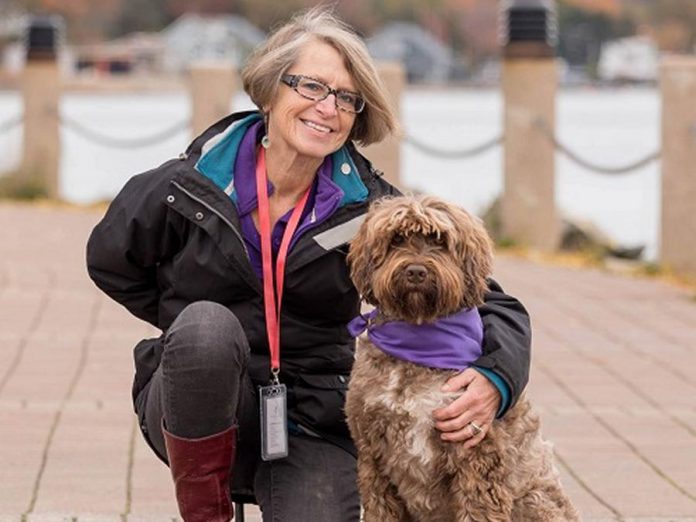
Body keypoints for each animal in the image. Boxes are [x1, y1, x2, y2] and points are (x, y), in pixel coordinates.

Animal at [346, 196, 580, 520]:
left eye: (440, 241)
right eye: (396, 239)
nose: (416, 271)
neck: (419, 339)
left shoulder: (477, 456)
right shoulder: (372, 456)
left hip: (534, 501)